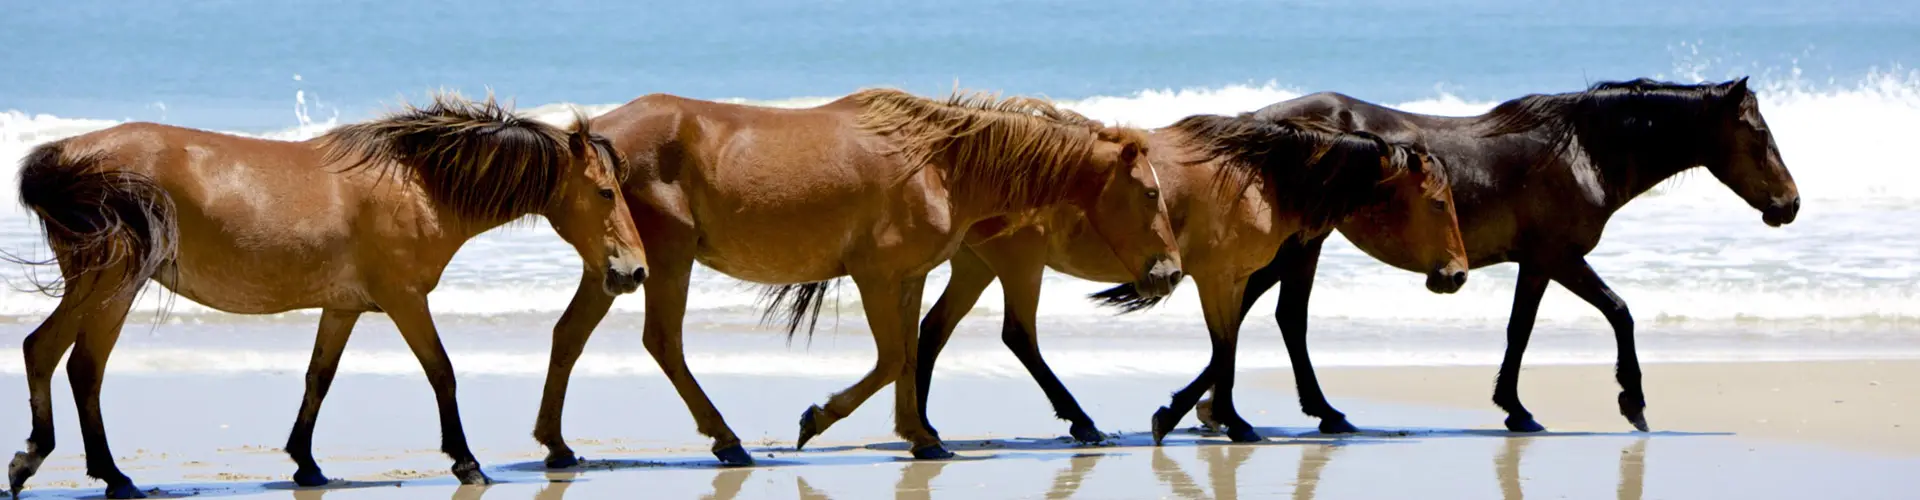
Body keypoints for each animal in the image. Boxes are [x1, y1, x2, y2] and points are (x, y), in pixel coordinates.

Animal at [4, 94, 649, 498]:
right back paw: (102, 474)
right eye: (605, 191)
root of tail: (61, 156)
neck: (417, 185)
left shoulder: (343, 307)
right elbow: (442, 372)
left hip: (99, 285)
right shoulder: (405, 300)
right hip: (112, 285)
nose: (634, 271)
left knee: (50, 354)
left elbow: (320, 377)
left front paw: (306, 465)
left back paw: (52, 463)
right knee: (75, 365)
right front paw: (466, 462)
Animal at [531, 88, 1183, 466]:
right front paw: (815, 420)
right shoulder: (874, 275)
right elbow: (893, 358)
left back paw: (558, 448)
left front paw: (923, 436)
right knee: (663, 343)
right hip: (666, 260)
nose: (1171, 272)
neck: (939, 164)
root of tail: (588, 140)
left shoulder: (909, 277)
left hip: (615, 266)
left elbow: (910, 353)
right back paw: (728, 441)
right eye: (1151, 193)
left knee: (568, 336)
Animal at [911, 113, 1470, 445]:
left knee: (933, 331)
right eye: (1438, 203)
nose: (1457, 273)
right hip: (1019, 264)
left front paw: (1197, 412)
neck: (1257, 178)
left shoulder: (1233, 278)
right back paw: (1083, 423)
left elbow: (1230, 343)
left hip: (978, 266)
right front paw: (1223, 419)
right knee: (1018, 336)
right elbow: (1226, 347)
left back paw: (926, 428)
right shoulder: (1217, 277)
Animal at [1179, 77, 1799, 435]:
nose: (1789, 204)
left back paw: (1223, 411)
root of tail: (1261, 122)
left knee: (1265, 314)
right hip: (1303, 241)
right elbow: (1618, 312)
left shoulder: (1536, 263)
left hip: (1303, 242)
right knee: (1269, 315)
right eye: (1759, 134)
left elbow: (1519, 330)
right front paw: (1632, 401)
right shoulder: (1559, 257)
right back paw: (1255, 412)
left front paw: (1514, 407)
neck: (1583, 151)